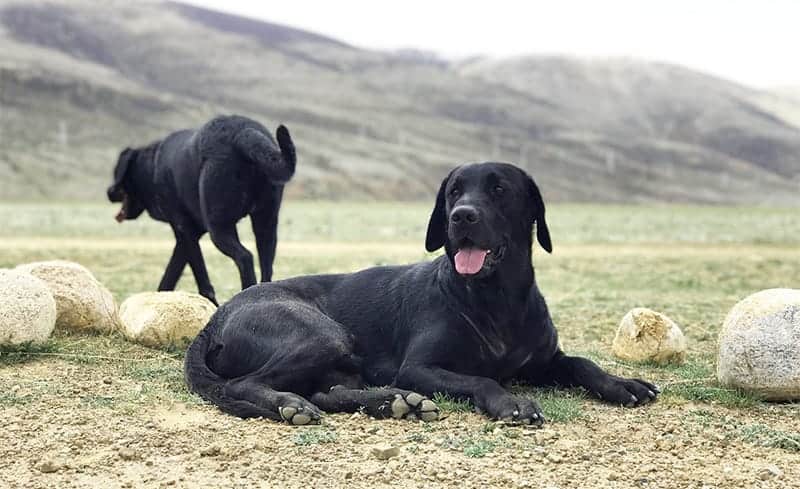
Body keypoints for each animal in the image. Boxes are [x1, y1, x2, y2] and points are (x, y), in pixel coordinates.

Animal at [106, 115, 294, 304]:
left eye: (116, 172)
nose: (109, 192)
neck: (151, 168)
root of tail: (243, 133)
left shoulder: (184, 230)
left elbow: (200, 276)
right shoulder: (187, 237)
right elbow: (171, 272)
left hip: (219, 227)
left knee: (245, 257)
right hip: (266, 225)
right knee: (266, 266)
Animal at [184, 163, 660, 424]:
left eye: (499, 189)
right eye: (453, 191)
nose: (461, 216)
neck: (495, 299)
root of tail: (213, 322)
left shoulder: (544, 361)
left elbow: (581, 362)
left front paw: (622, 383)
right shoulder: (419, 368)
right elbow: (482, 378)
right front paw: (511, 403)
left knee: (327, 392)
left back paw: (392, 403)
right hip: (321, 333)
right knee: (250, 384)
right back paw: (292, 404)